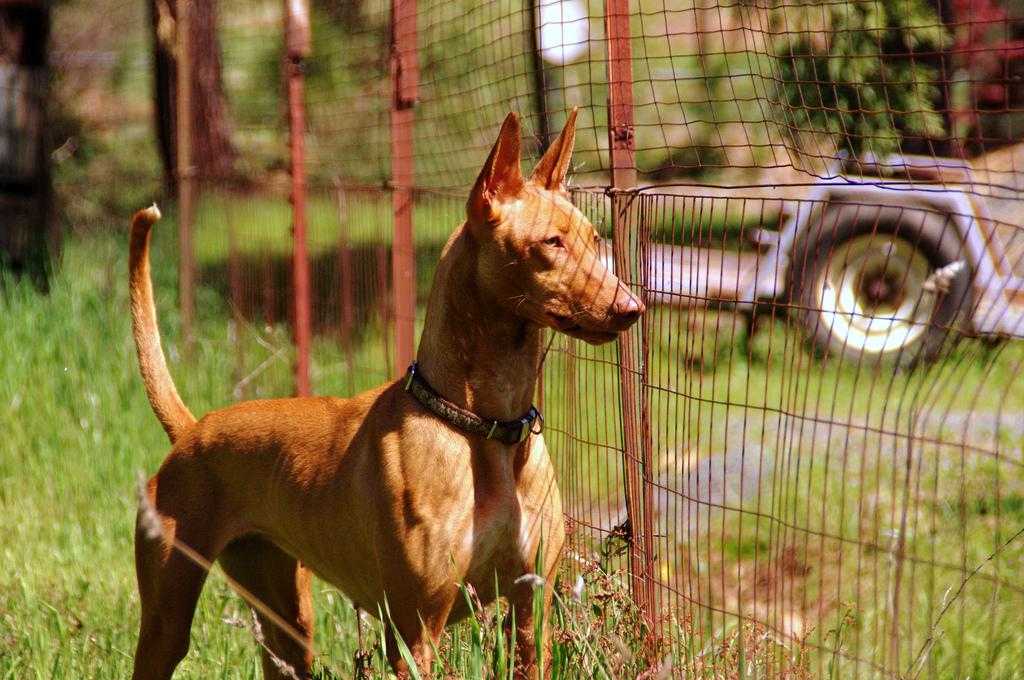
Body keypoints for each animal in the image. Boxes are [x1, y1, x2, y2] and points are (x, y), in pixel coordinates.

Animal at [125, 109, 638, 675]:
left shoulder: (533, 611)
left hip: (286, 616)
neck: (484, 426)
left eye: (595, 238)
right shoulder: (415, 632)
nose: (632, 308)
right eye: (551, 243)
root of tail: (192, 430)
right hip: (168, 621)